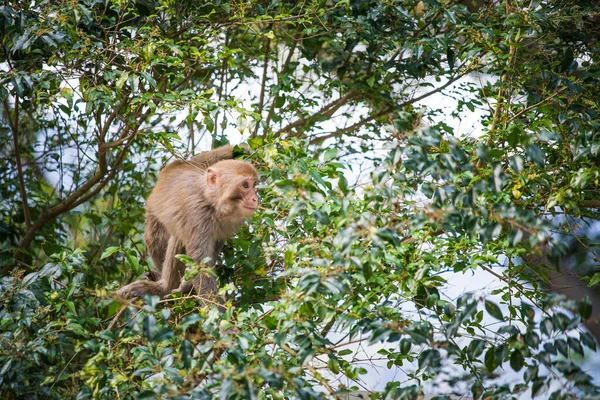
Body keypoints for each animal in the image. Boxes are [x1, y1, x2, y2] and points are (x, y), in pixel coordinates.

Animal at [116, 145, 258, 306]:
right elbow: (201, 268)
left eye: (254, 185)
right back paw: (164, 288)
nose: (255, 198)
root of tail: (180, 163)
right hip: (154, 215)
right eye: (245, 185)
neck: (211, 202)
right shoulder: (196, 216)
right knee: (167, 236)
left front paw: (188, 284)